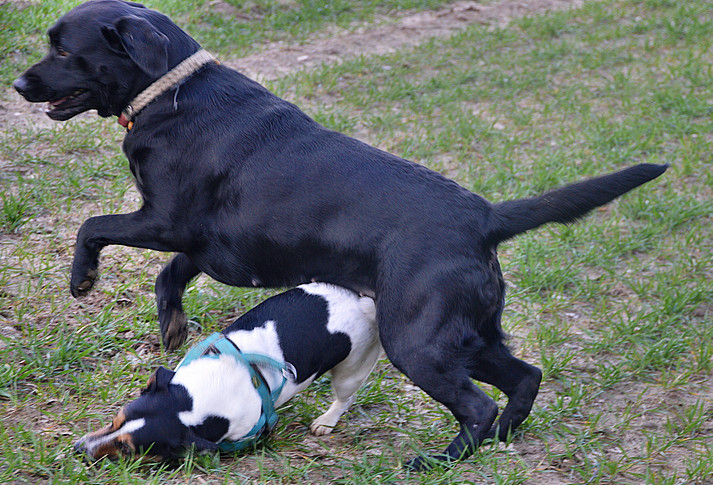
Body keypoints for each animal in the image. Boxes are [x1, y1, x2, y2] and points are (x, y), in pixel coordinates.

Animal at [75, 284, 382, 462]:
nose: (79, 448)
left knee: (345, 397)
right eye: (114, 420)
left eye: (128, 449)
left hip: (351, 370)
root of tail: (362, 304)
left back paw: (326, 421)